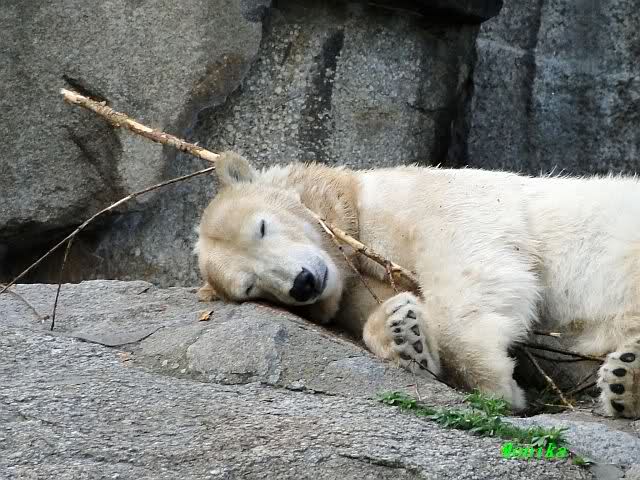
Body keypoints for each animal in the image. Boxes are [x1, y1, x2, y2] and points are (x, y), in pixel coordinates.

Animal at [195, 151, 640, 419]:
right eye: (250, 286)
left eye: (262, 227)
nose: (302, 284)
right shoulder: (352, 281)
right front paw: (404, 332)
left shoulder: (422, 197)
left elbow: (465, 253)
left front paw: (495, 381)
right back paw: (626, 377)